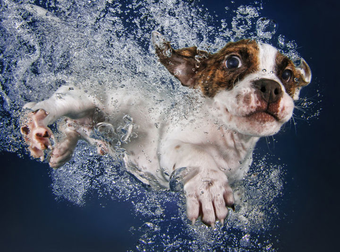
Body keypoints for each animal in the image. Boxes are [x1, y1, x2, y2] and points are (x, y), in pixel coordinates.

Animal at [19, 31, 310, 226]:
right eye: (232, 62)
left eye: (287, 76)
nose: (270, 87)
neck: (226, 139)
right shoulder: (172, 146)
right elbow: (199, 157)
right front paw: (208, 186)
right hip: (78, 98)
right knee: (55, 106)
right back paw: (36, 125)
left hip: (89, 119)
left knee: (73, 126)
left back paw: (63, 151)